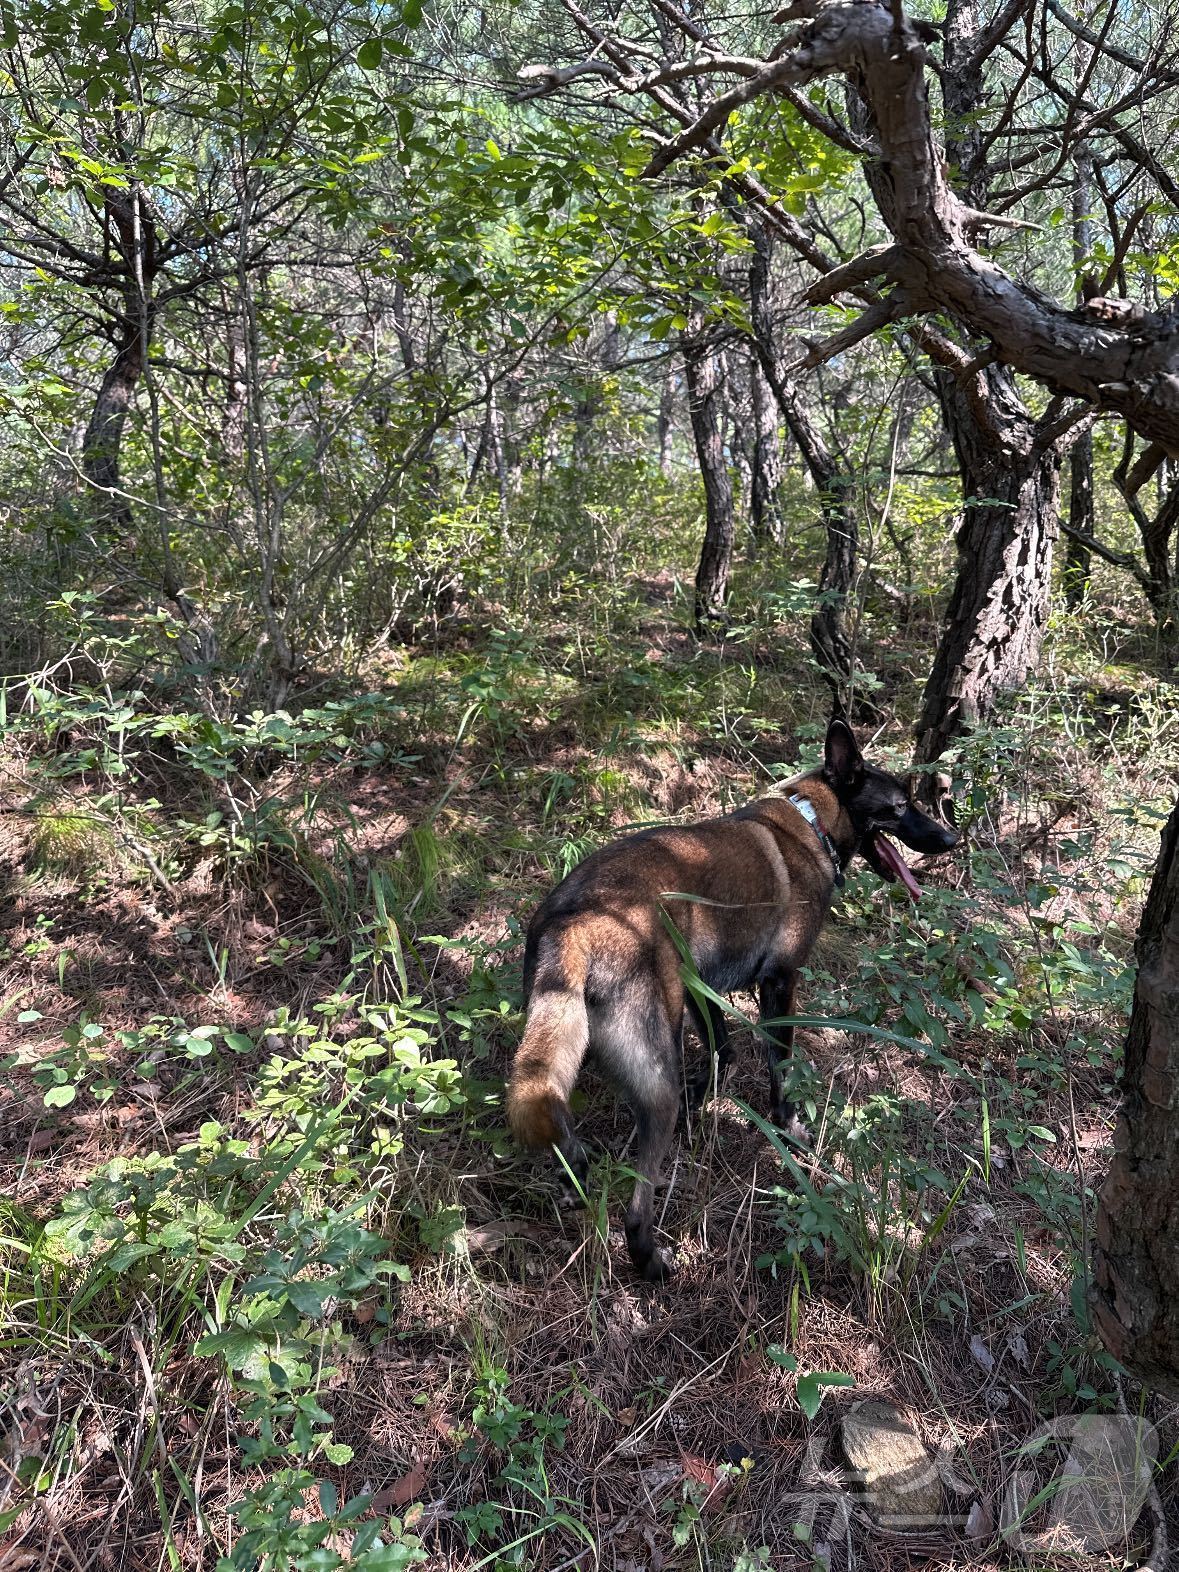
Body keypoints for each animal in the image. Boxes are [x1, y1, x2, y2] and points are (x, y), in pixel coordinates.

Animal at [509, 719, 962, 1276]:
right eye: (900, 806)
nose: (952, 837)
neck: (813, 818)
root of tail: (578, 922)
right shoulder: (780, 982)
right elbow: (780, 1067)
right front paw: (790, 1128)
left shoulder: (701, 986)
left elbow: (724, 1051)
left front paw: (706, 1098)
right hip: (656, 1076)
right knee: (637, 1200)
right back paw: (650, 1259)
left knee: (560, 1123)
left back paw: (577, 1175)